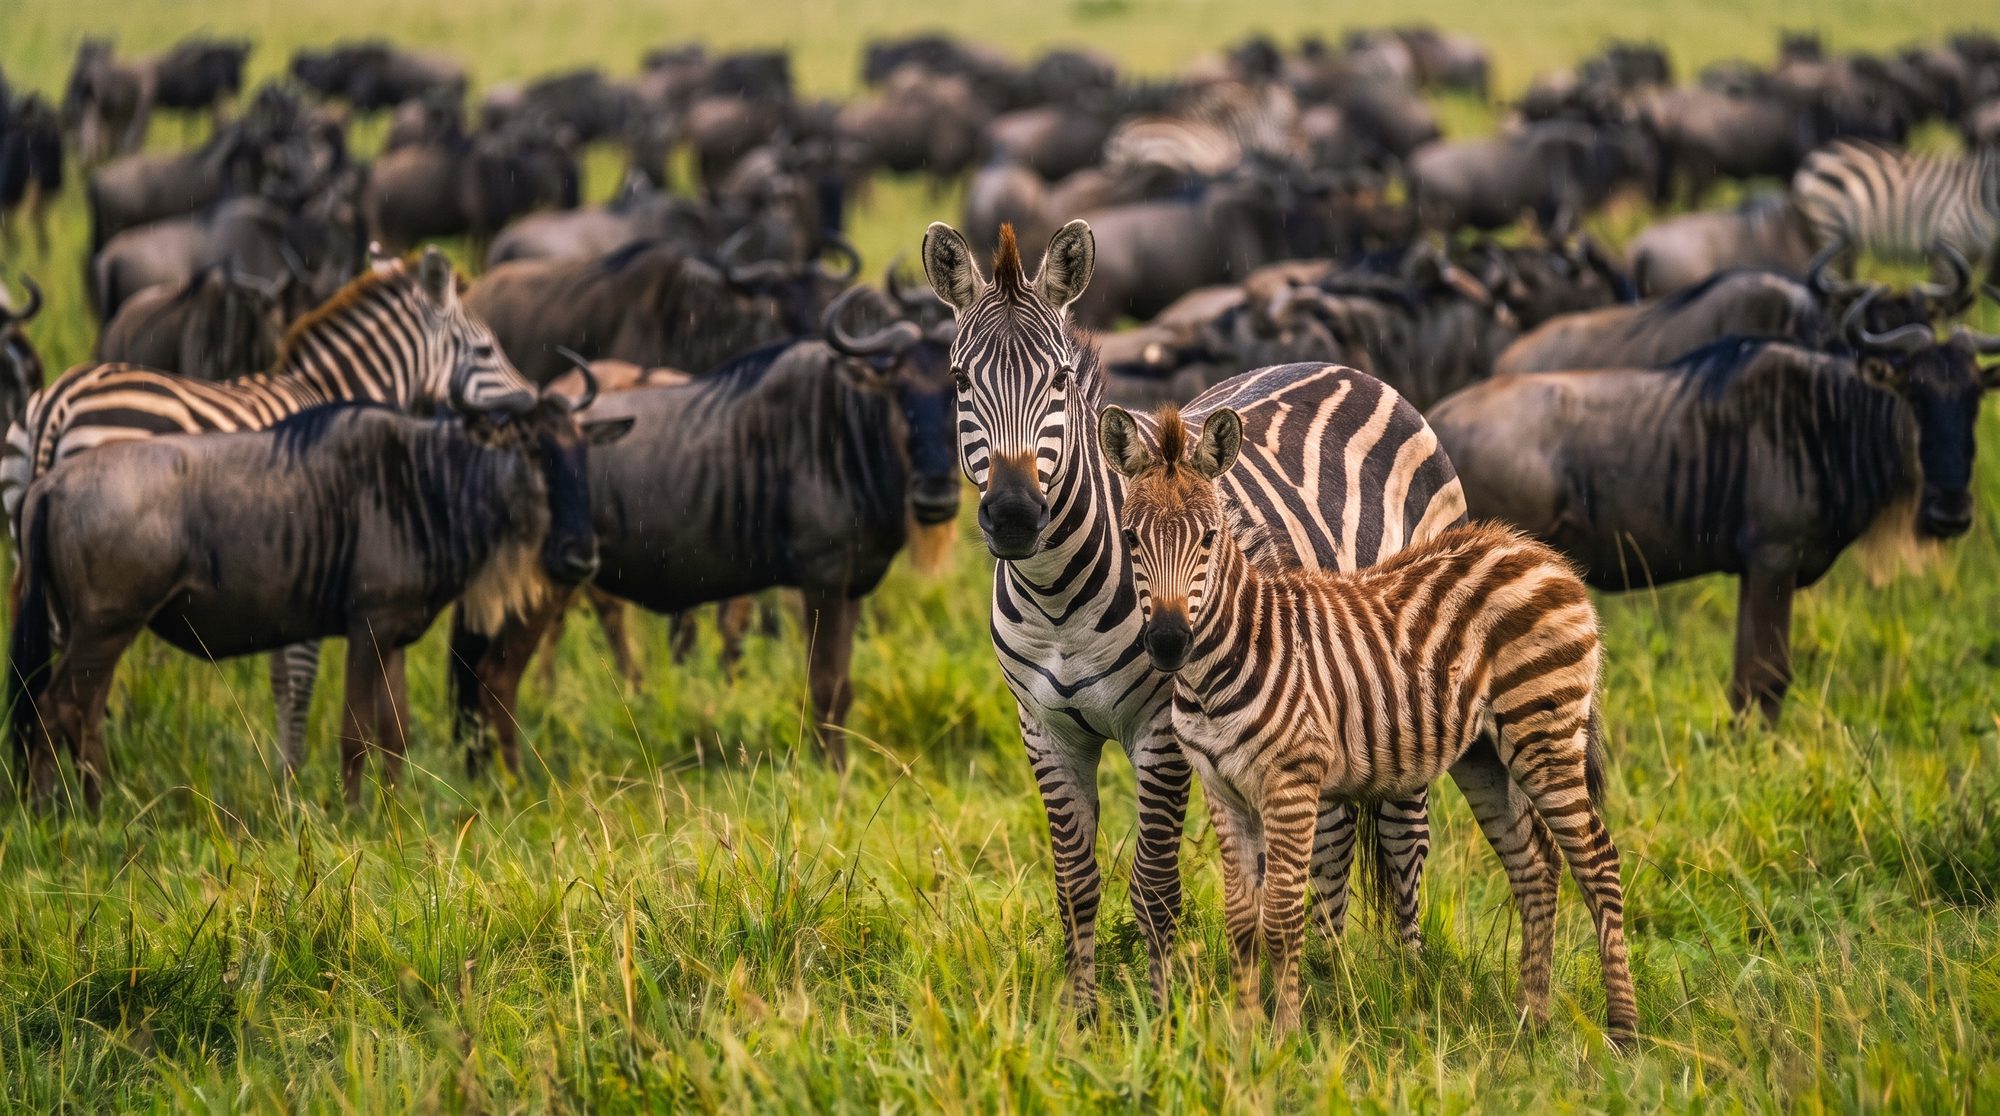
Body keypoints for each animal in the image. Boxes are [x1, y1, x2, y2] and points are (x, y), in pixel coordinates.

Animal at [2, 246, 539, 775]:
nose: (535, 400)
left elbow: (284, 678)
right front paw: (292, 781)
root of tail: (54, 405)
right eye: (486, 350)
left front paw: (284, 779)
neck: (334, 391)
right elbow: (300, 679)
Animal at [920, 218, 1466, 1013]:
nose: (1016, 515)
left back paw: (1407, 977)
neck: (1057, 605)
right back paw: (1329, 972)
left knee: (1404, 837)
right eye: (960, 382)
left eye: (1059, 380)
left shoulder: (1162, 730)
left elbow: (1154, 888)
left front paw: (1158, 1015)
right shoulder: (1045, 732)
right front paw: (1082, 1018)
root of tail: (1350, 369)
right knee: (1333, 835)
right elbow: (1074, 888)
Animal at [1102, 401, 1636, 1042]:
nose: (1167, 642)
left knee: (1598, 863)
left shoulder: (1293, 782)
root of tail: (1539, 553)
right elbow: (1241, 920)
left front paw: (1284, 1037)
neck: (1223, 663)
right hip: (1485, 756)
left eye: (1207, 538)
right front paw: (1243, 1034)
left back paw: (1623, 1033)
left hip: (1544, 736)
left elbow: (1281, 916)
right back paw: (1531, 1021)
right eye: (1131, 538)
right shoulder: (1222, 788)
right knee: (1536, 864)